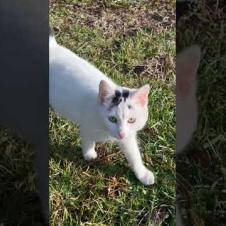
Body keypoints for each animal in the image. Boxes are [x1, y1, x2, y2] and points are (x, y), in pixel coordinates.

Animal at [49, 34, 155, 185]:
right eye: (112, 119)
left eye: (131, 120)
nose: (121, 134)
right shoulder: (87, 125)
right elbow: (87, 139)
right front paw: (89, 154)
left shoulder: (128, 135)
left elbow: (133, 153)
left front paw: (143, 174)